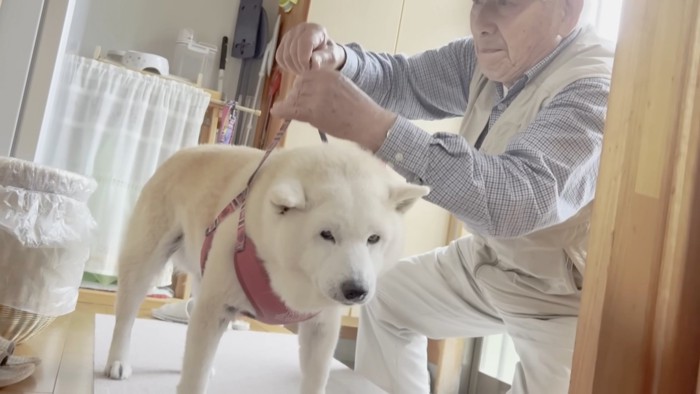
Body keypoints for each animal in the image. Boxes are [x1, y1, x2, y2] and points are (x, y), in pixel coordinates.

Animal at [105, 142, 426, 394]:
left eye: (374, 238)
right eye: (326, 234)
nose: (356, 290)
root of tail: (185, 151)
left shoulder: (322, 326)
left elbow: (315, 381)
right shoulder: (216, 307)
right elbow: (193, 382)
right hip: (146, 260)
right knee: (127, 316)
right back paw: (117, 361)